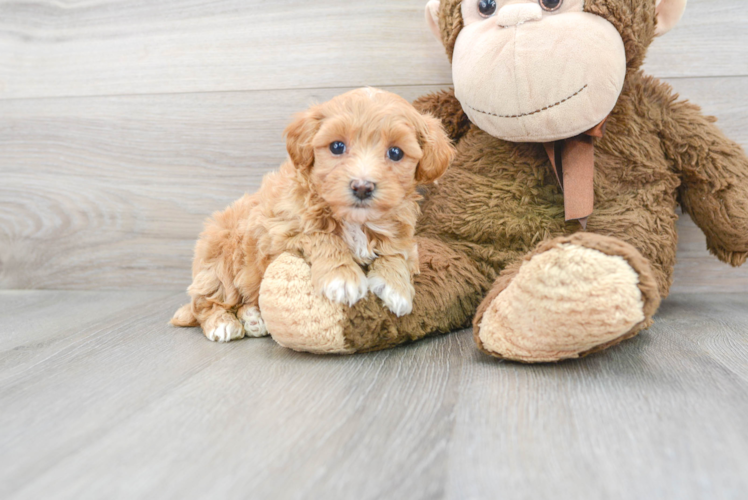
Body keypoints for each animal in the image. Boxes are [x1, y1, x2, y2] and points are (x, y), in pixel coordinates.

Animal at [172, 88, 452, 342]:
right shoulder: (278, 232)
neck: (355, 221)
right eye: (337, 147)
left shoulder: (403, 236)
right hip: (221, 261)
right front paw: (342, 277)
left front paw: (396, 286)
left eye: (395, 153)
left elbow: (396, 252)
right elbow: (322, 236)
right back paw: (222, 324)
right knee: (206, 304)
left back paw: (254, 318)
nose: (362, 187)